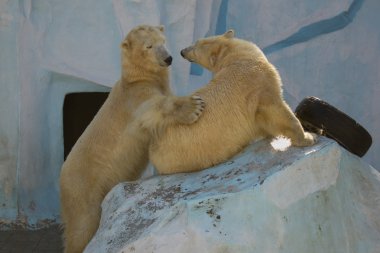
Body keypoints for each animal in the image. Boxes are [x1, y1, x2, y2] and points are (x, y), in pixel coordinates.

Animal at [60, 24, 205, 253]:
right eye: (149, 45)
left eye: (163, 40)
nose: (168, 58)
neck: (137, 78)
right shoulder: (135, 98)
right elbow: (153, 108)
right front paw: (193, 106)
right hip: (82, 188)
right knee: (82, 226)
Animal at [150, 29, 316, 174]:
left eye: (195, 45)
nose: (182, 51)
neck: (236, 57)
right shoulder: (260, 85)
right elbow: (277, 111)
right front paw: (307, 138)